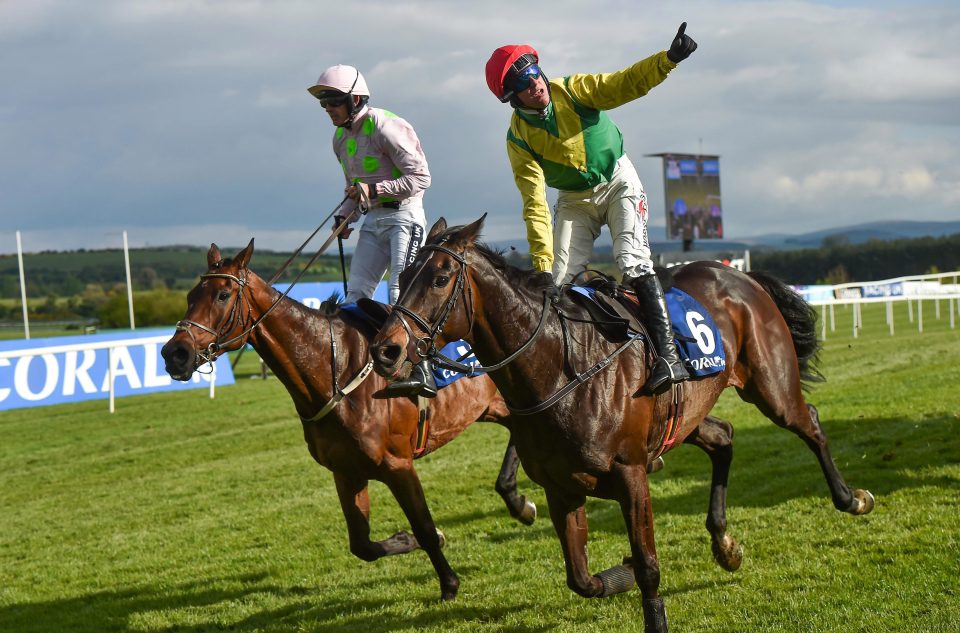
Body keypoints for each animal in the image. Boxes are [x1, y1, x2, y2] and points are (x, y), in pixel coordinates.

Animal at [157, 239, 532, 600]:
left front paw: (449, 583)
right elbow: (362, 545)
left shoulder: (398, 464)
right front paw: (407, 539)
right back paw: (518, 501)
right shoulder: (347, 471)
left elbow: (424, 527)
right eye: (190, 296)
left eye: (222, 295)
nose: (174, 353)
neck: (333, 371)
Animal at [370, 216, 876, 628]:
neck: (561, 369)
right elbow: (581, 579)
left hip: (771, 386)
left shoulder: (631, 474)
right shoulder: (562, 486)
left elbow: (649, 566)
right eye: (402, 275)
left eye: (439, 278)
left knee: (810, 422)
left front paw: (649, 598)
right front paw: (623, 572)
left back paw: (851, 498)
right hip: (685, 418)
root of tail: (738, 274)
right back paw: (724, 542)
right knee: (724, 438)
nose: (386, 349)